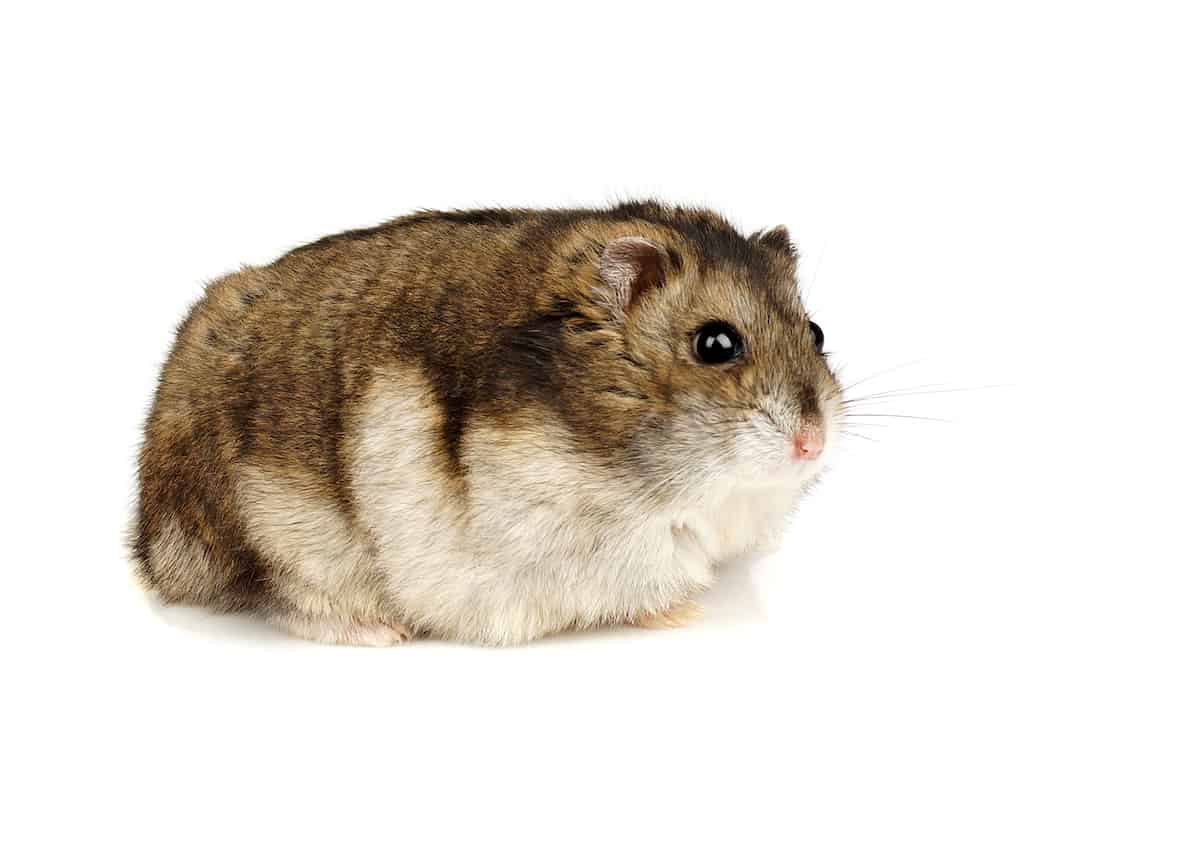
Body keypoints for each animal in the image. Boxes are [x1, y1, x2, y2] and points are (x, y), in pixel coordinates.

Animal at [131, 201, 841, 646]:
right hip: (271, 534)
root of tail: (149, 536)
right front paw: (686, 614)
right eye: (716, 344)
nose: (812, 444)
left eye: (816, 331)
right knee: (282, 599)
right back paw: (382, 633)